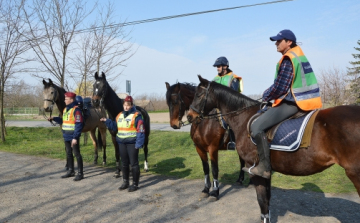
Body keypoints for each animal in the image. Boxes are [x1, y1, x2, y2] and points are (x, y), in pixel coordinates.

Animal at [188, 75, 360, 223]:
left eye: (198, 95)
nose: (189, 116)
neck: (244, 118)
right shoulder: (266, 171)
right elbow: (267, 199)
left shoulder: (253, 169)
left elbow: (262, 200)